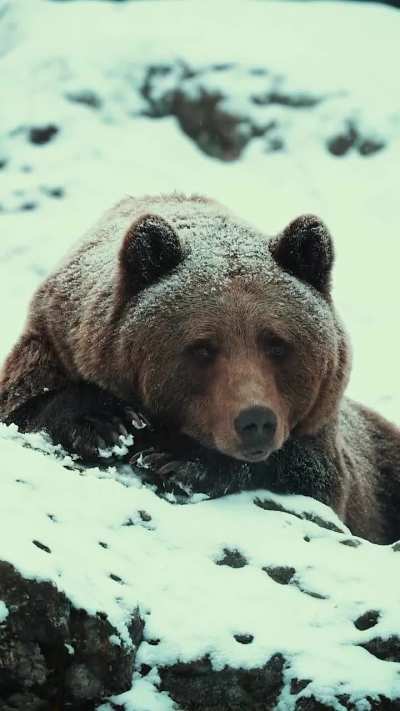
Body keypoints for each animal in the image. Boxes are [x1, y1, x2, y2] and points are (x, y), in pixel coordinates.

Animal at [1, 193, 399, 544]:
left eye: (276, 344)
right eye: (203, 348)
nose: (255, 422)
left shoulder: (327, 440)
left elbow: (309, 473)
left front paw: (176, 460)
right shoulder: (53, 341)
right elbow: (24, 404)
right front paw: (107, 423)